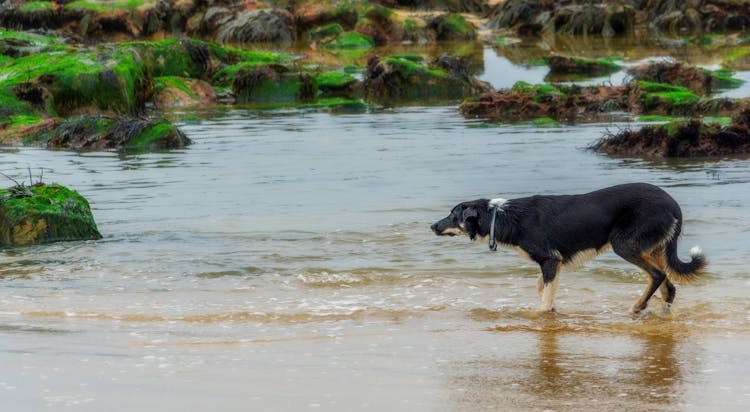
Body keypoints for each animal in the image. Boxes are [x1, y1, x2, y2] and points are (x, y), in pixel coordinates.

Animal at [432, 182, 708, 314]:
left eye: (452, 215)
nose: (432, 226)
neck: (501, 216)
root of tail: (673, 203)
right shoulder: (555, 263)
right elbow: (542, 287)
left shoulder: (550, 260)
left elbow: (544, 296)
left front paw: (542, 314)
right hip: (653, 248)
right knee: (669, 287)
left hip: (625, 244)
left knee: (658, 276)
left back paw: (638, 307)